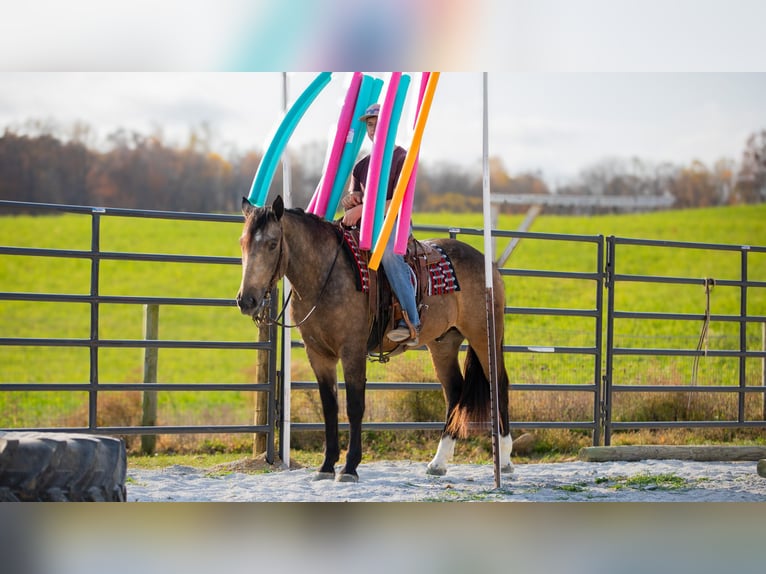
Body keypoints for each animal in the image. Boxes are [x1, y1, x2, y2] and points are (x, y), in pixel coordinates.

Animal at [237, 196, 512, 484]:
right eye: (243, 243)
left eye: (272, 244)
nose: (247, 300)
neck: (324, 276)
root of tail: (487, 263)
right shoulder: (319, 354)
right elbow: (330, 407)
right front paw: (326, 466)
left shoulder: (352, 351)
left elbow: (355, 406)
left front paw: (349, 467)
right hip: (443, 343)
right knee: (455, 390)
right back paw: (438, 462)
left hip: (484, 336)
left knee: (499, 384)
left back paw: (504, 460)